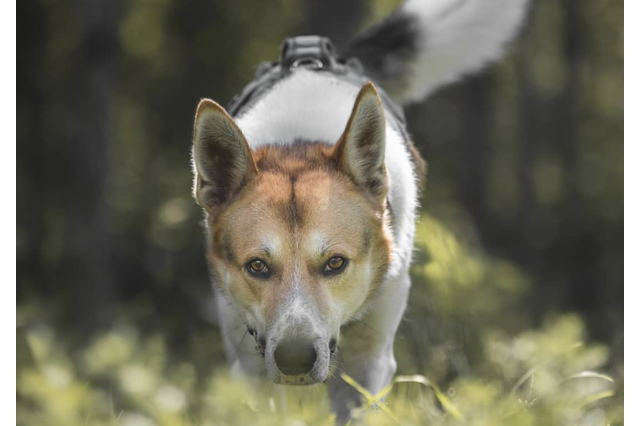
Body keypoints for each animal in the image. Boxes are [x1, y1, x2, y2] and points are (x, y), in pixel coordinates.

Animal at [191, 0, 528, 420]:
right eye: (257, 266)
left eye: (335, 263)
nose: (295, 359)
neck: (299, 139)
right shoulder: (249, 365)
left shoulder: (370, 363)